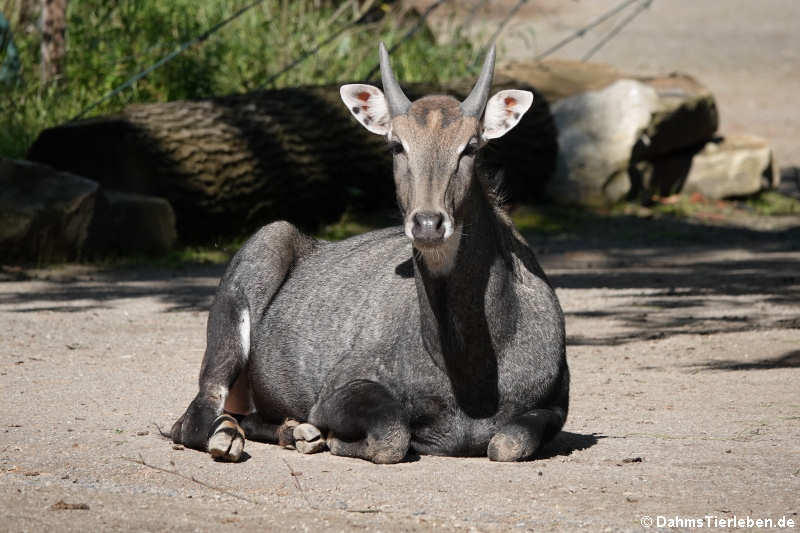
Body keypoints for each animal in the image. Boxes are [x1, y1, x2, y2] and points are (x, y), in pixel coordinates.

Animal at [172, 43, 568, 464]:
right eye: (397, 144)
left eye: (472, 146)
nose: (428, 223)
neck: (468, 374)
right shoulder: (337, 390)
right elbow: (393, 434)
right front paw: (331, 437)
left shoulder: (555, 405)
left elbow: (507, 442)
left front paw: (315, 436)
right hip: (259, 259)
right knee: (194, 419)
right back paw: (233, 436)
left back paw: (294, 432)